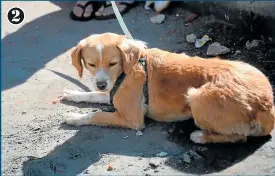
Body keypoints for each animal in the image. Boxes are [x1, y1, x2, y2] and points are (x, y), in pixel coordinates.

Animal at [63, 32, 275, 144]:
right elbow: (93, 95)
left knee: (239, 137)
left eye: (113, 63)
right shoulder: (111, 93)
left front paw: (75, 117)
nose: (101, 83)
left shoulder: (132, 119)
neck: (127, 69)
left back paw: (200, 136)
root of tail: (267, 105)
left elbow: (96, 114)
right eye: (91, 64)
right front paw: (73, 94)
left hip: (197, 97)